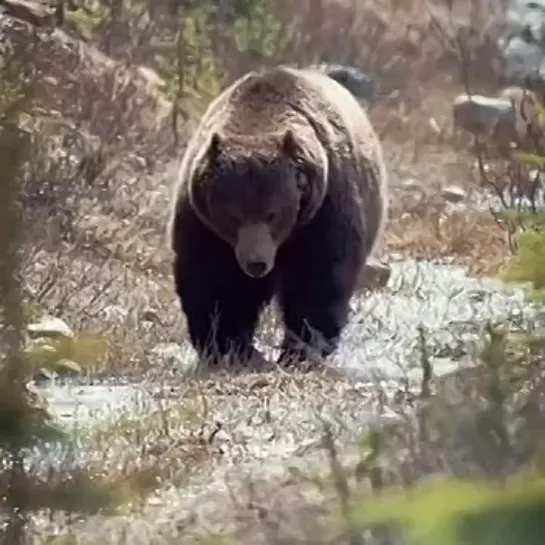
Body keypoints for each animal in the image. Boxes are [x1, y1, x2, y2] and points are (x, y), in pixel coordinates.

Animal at [166, 66, 386, 368]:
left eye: (272, 213)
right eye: (233, 215)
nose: (256, 263)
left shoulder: (324, 210)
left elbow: (317, 279)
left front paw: (302, 349)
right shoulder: (204, 225)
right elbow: (214, 283)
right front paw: (227, 347)